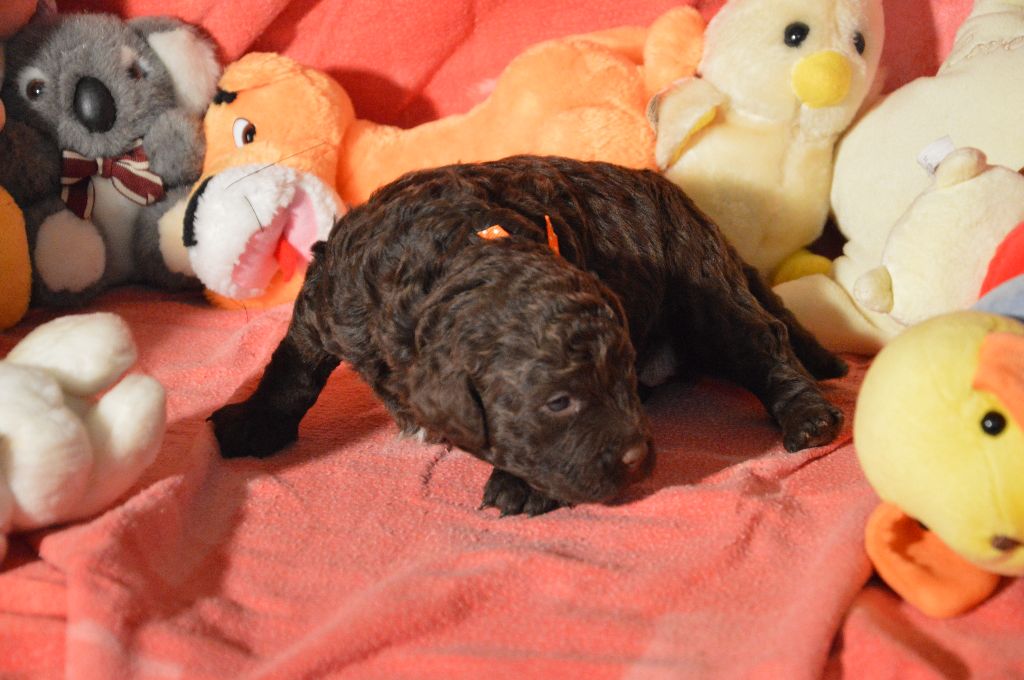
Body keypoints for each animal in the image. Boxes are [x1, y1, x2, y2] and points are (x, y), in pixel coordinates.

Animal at [210, 155, 847, 515]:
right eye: (559, 402)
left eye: (622, 380)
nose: (640, 459)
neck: (445, 261)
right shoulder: (327, 297)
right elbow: (291, 368)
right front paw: (254, 421)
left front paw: (522, 486)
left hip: (703, 286)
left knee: (765, 343)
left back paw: (809, 416)